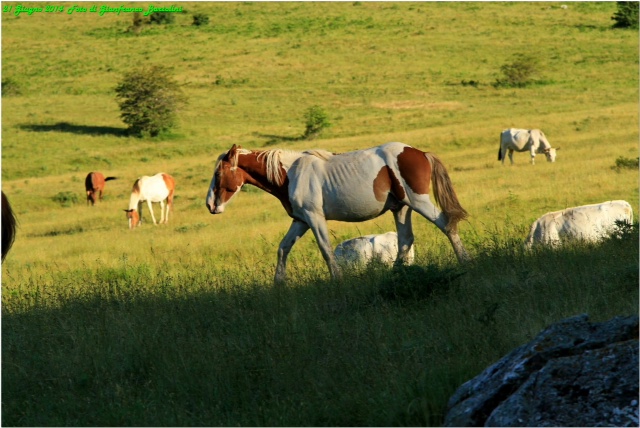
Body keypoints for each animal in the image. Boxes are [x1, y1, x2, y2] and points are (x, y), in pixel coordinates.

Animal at [206, 142, 470, 284]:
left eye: (218, 174)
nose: (210, 206)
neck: (291, 174)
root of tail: (420, 153)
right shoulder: (301, 220)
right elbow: (283, 248)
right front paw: (278, 285)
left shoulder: (314, 218)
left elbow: (325, 249)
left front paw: (338, 280)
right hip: (401, 208)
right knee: (405, 240)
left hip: (418, 201)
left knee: (447, 224)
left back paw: (465, 261)